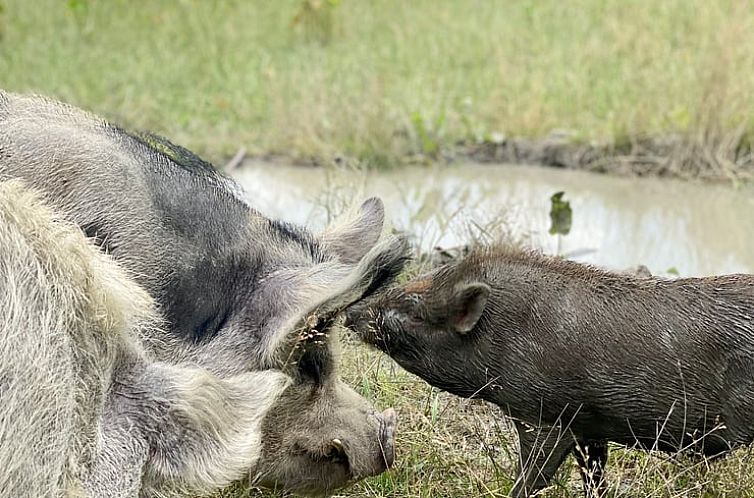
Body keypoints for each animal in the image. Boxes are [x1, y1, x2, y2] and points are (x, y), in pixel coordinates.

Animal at [346, 247, 752, 496]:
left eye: (413, 307)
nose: (351, 311)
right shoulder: (591, 426)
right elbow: (594, 478)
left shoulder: (545, 416)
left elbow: (532, 479)